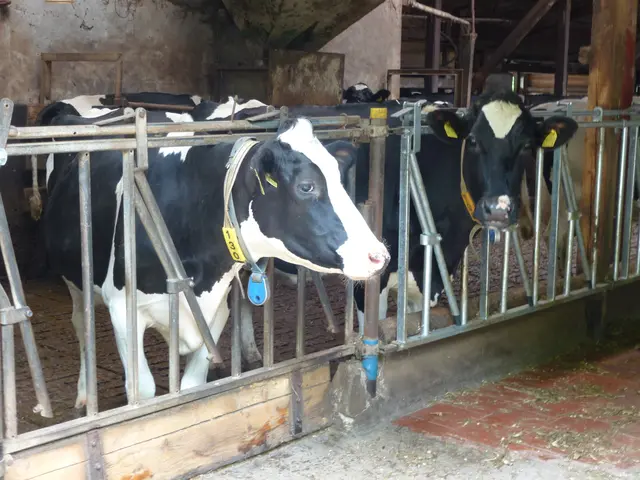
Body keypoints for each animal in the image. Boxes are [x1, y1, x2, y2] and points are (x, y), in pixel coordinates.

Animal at [41, 108, 391, 408]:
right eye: (307, 186)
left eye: (340, 180)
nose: (379, 256)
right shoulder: (124, 309)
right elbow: (143, 390)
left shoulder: (216, 309)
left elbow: (191, 386)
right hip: (76, 280)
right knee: (81, 325)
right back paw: (85, 395)